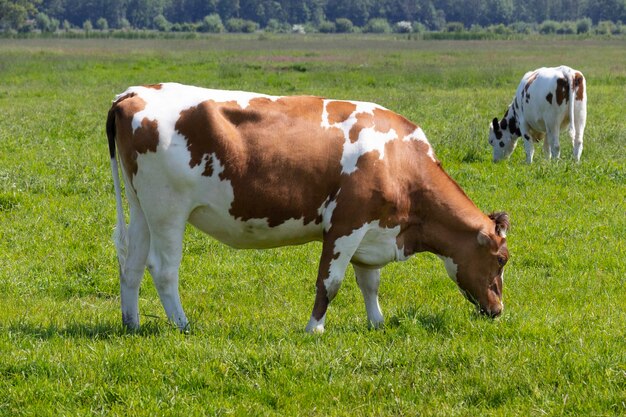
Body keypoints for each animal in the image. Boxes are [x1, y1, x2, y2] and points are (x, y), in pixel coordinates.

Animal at [106, 83, 508, 334]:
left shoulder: (373, 229)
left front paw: (377, 323)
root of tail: (133, 93)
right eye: (502, 260)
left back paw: (132, 323)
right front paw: (314, 328)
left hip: (142, 209)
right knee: (163, 270)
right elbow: (329, 282)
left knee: (132, 264)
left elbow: (370, 282)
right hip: (168, 210)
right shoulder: (346, 223)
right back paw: (183, 324)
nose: (498, 310)